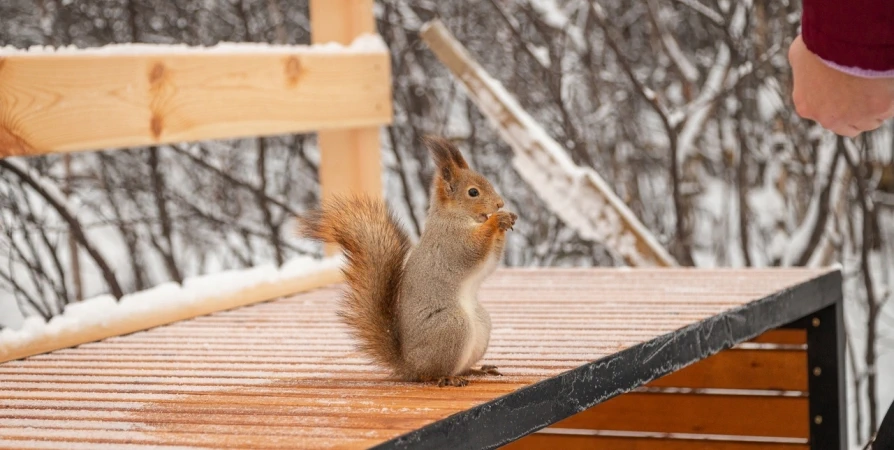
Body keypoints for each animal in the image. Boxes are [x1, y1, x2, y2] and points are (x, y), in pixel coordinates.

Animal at [298, 135, 520, 384]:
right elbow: (473, 248)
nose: (500, 204)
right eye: (473, 192)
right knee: (431, 374)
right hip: (453, 326)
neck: (455, 216)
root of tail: (409, 364)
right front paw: (495, 221)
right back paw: (446, 378)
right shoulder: (452, 242)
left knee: (459, 367)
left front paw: (507, 219)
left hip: (482, 325)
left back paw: (476, 370)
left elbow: (491, 258)